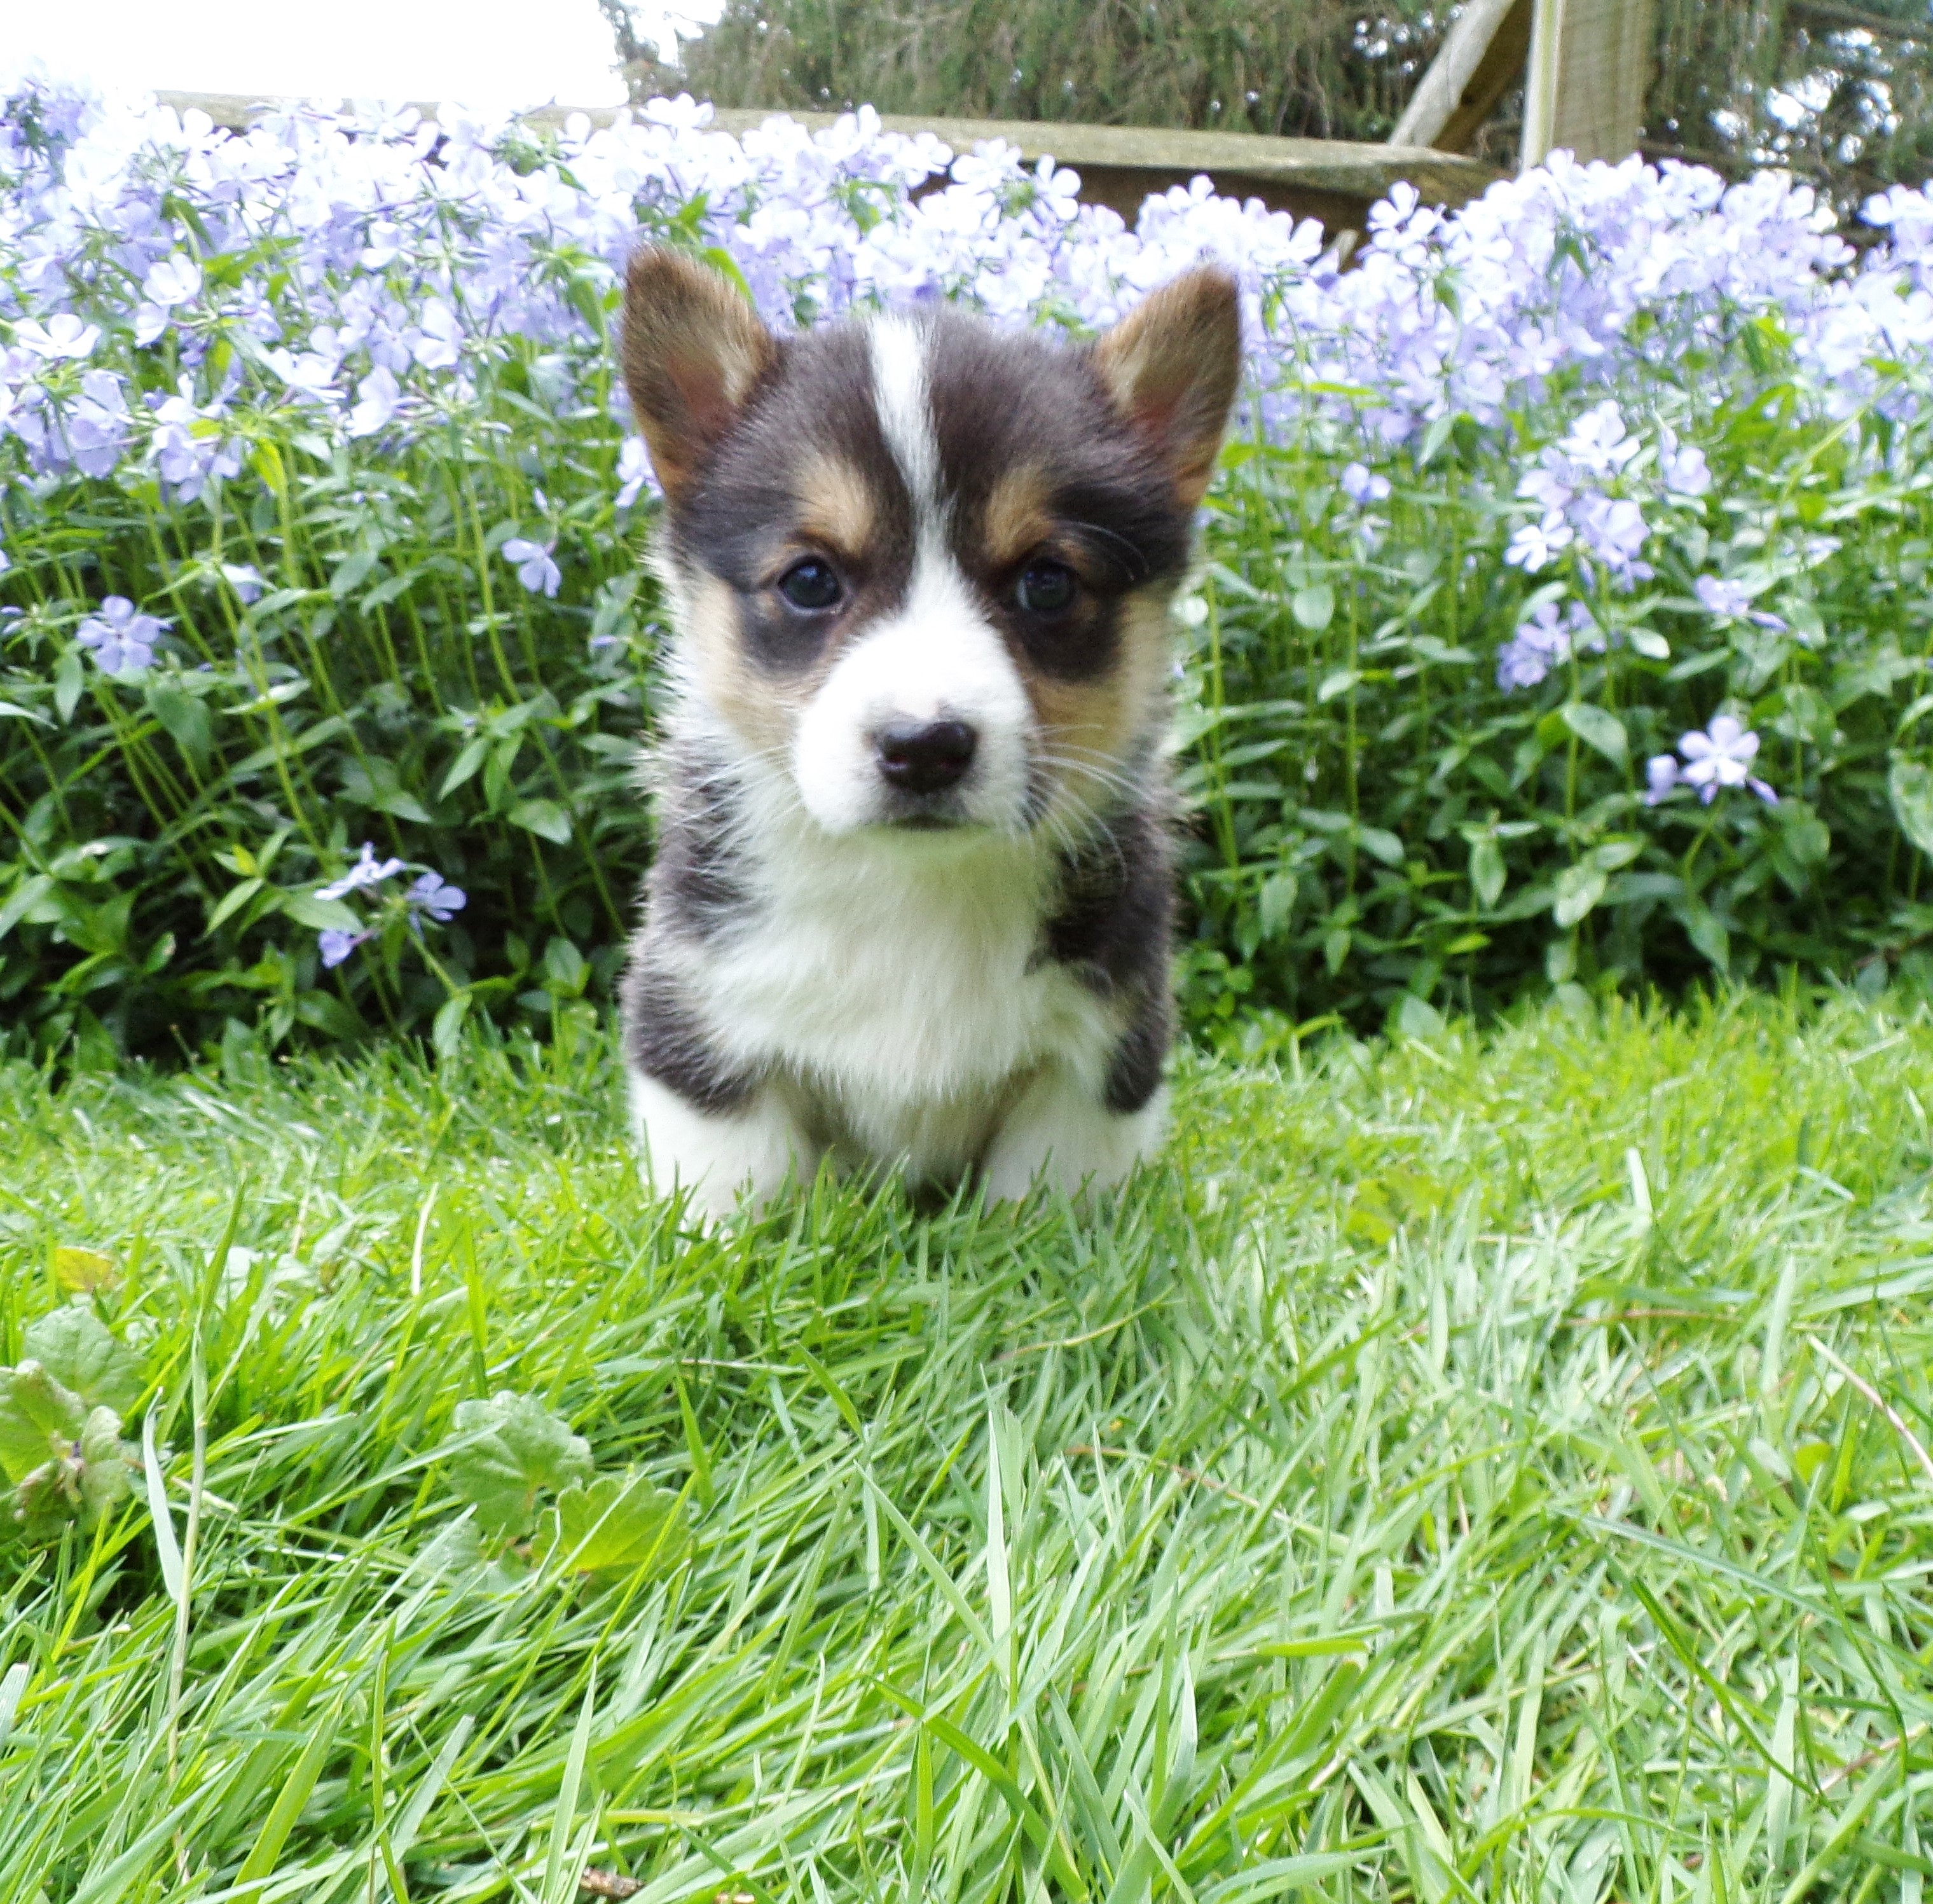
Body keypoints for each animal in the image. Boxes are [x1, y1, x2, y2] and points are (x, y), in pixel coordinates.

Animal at [626, 249, 1244, 1222]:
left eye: (1046, 583)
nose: (924, 748)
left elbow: (1039, 1203)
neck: (915, 890)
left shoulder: (1099, 1056)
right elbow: (738, 1194)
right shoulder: (699, 1020)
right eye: (810, 580)